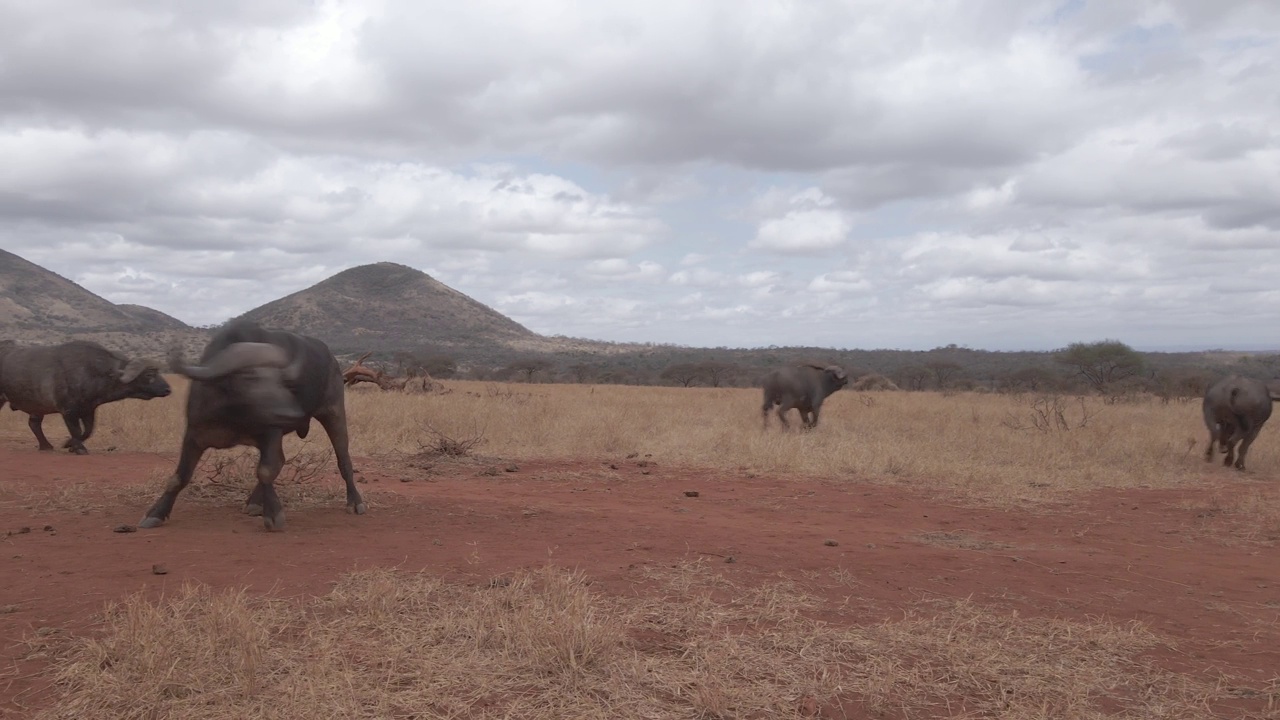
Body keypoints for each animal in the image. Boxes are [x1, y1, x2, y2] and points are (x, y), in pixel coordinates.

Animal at [0, 338, 171, 450]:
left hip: (37, 406)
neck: (91, 371)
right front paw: (77, 448)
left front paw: (69, 444)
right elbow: (76, 430)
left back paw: (46, 446)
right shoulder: (68, 411)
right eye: (149, 374)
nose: (168, 389)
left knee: (34, 424)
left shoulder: (89, 410)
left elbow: (88, 431)